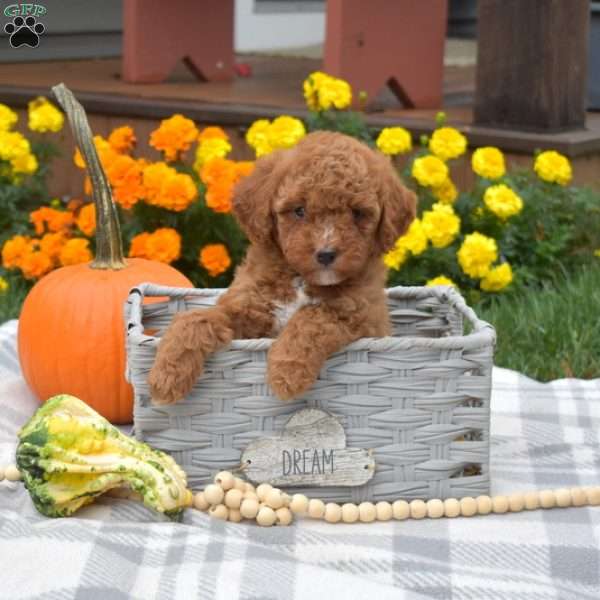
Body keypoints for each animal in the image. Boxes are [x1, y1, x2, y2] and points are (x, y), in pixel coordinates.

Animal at [148, 131, 414, 404]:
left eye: (358, 213)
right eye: (299, 210)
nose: (326, 254)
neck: (300, 278)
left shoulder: (361, 315)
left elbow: (312, 318)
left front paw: (287, 372)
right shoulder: (245, 310)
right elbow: (197, 317)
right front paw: (166, 376)